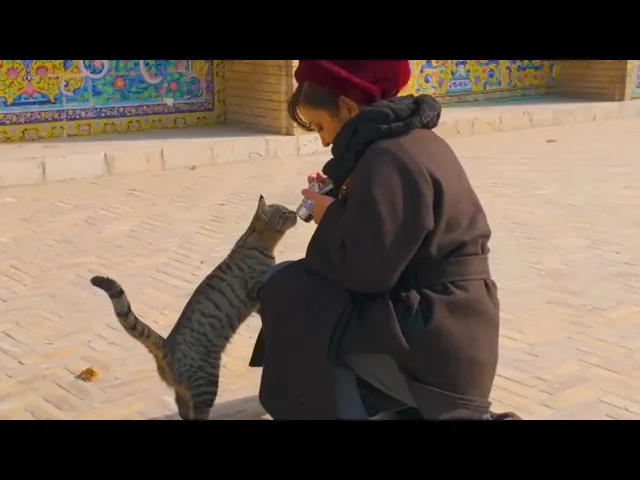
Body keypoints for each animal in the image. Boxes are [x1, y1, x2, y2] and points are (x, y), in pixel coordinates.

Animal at [90, 195, 298, 420]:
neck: (257, 243)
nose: (296, 212)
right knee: (198, 415)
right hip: (207, 382)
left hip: (184, 390)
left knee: (183, 411)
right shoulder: (257, 289)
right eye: (284, 213)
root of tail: (166, 346)